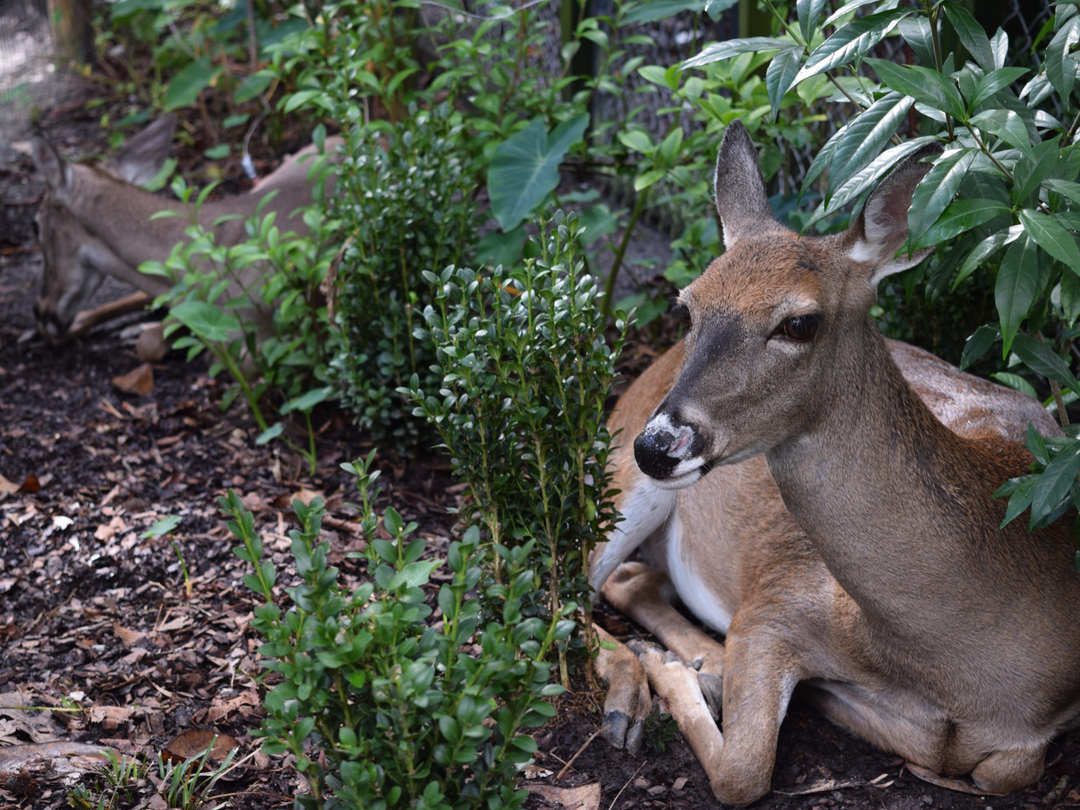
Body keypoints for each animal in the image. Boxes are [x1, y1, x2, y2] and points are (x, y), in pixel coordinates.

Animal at [588, 120, 1080, 806]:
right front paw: (671, 669)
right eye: (688, 305)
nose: (659, 444)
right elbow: (743, 773)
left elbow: (997, 770)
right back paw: (643, 688)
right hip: (617, 479)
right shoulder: (776, 601)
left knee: (629, 580)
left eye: (800, 322)